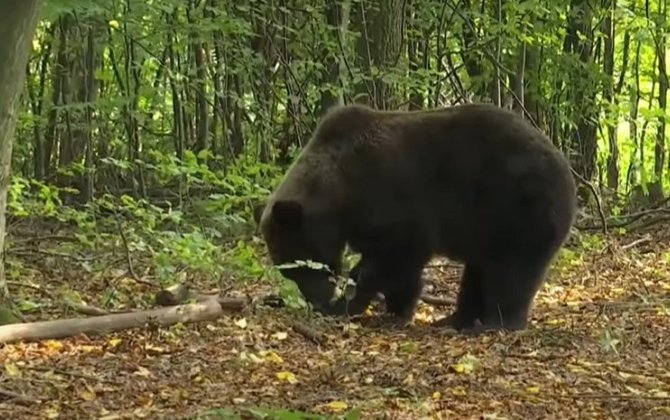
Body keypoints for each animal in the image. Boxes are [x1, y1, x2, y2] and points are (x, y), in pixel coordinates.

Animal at [258, 102, 577, 333]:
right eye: (288, 272)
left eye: (302, 263)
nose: (317, 301)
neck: (342, 191)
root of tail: (566, 168)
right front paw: (392, 307)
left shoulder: (395, 203)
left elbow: (396, 256)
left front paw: (353, 303)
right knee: (480, 270)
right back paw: (455, 319)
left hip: (519, 208)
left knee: (511, 269)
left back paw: (495, 323)